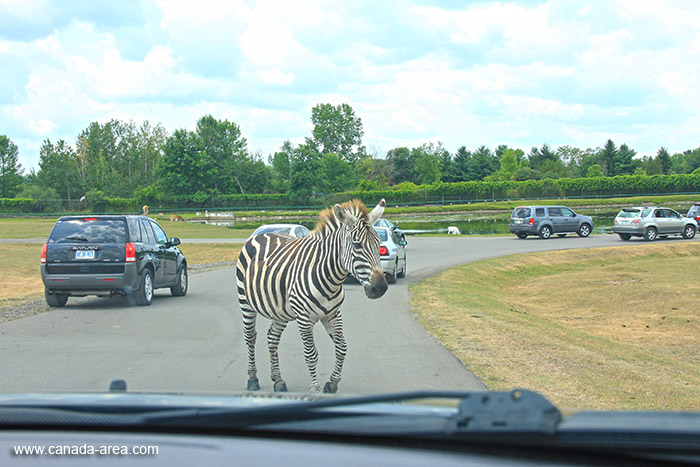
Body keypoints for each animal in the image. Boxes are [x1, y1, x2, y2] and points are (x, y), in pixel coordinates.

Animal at [237, 199, 388, 394]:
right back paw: (253, 379)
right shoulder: (304, 318)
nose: (381, 288)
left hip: (280, 310)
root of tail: (261, 234)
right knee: (250, 337)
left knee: (272, 337)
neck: (330, 278)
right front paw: (315, 389)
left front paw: (332, 383)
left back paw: (278, 381)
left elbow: (342, 347)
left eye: (379, 244)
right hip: (245, 302)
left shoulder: (333, 314)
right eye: (357, 245)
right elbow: (311, 354)